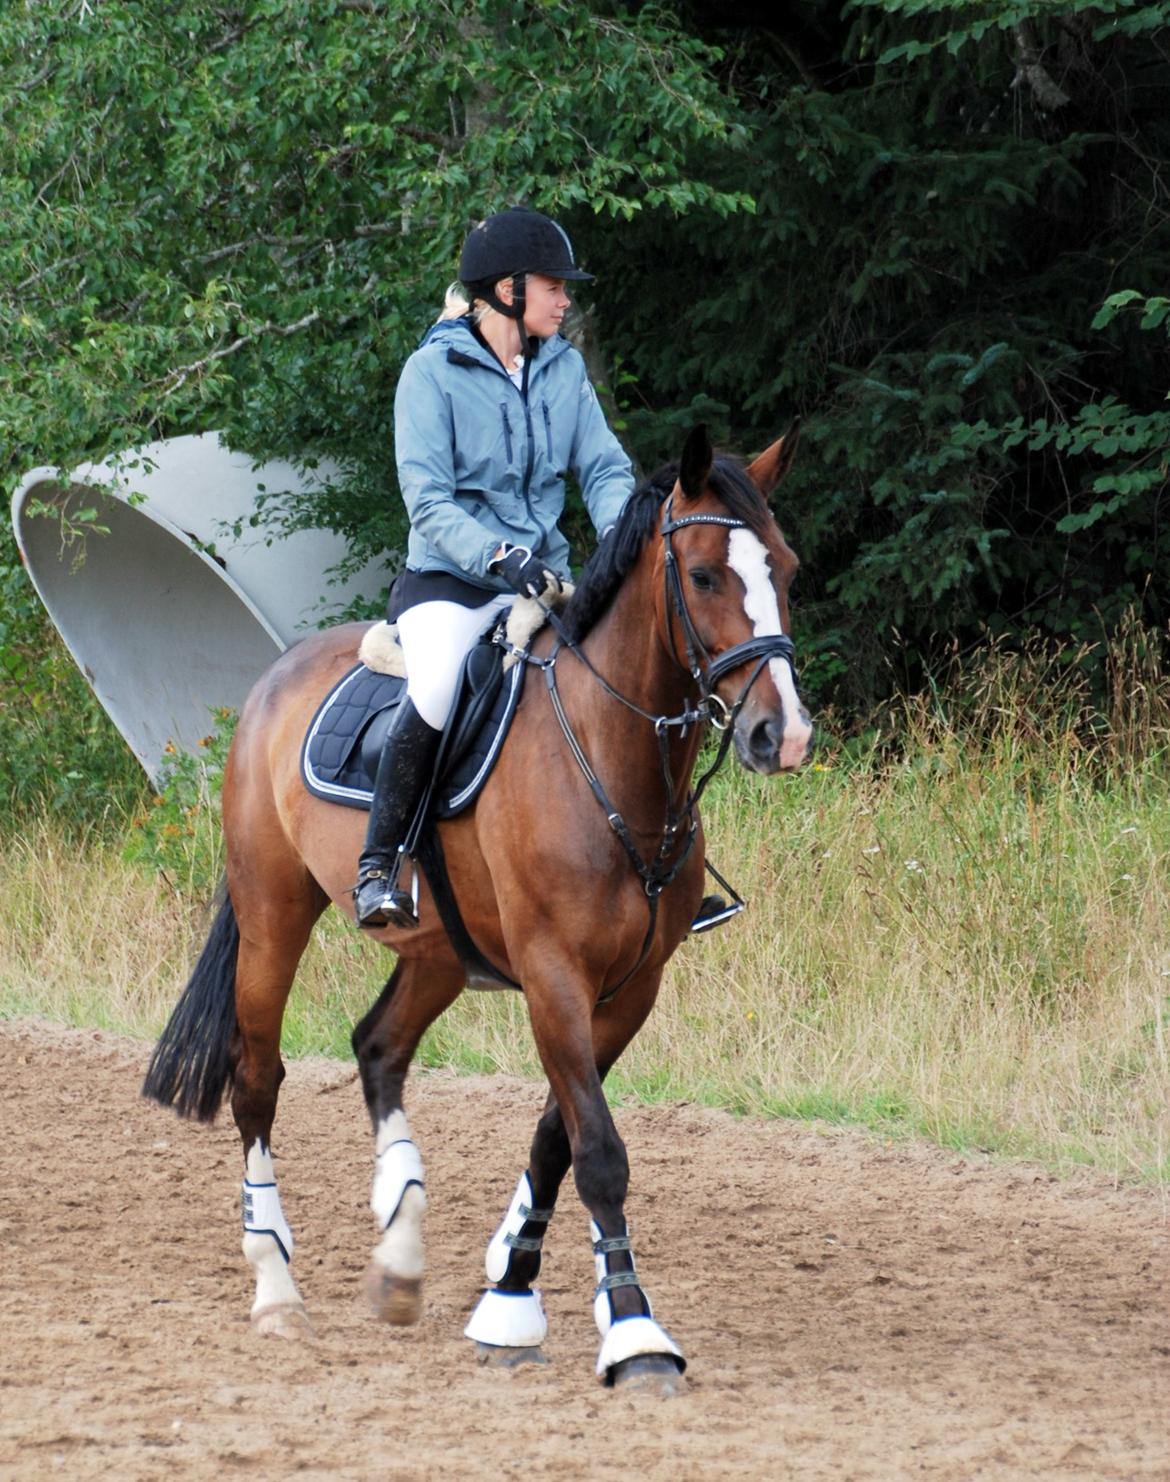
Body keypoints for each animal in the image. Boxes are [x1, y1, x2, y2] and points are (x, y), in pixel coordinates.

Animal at [139, 420, 812, 1387]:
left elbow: (558, 1139)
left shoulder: (631, 988)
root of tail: (275, 679)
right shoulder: (554, 976)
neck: (607, 756)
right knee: (256, 1082)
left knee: (378, 1047)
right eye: (704, 576)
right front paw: (634, 1331)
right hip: (272, 915)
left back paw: (400, 1247)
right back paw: (276, 1288)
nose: (780, 735)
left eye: (785, 568)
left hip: (436, 953)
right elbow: (599, 1151)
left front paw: (510, 1289)